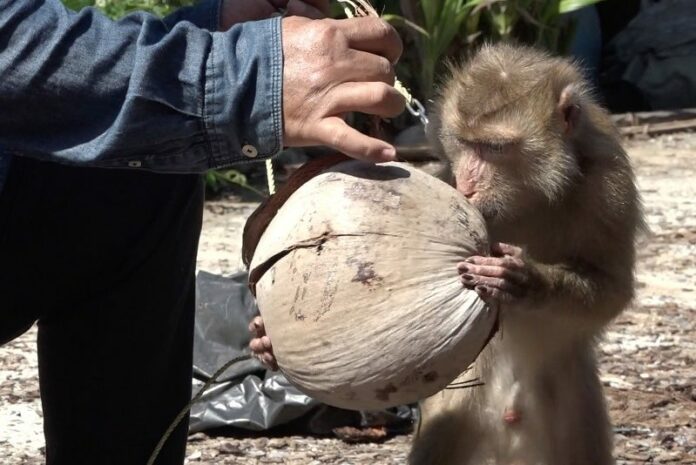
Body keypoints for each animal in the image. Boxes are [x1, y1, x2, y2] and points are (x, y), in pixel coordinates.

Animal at [410, 41, 644, 462]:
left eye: (494, 147)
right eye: (465, 143)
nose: (469, 184)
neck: (529, 195)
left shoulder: (609, 183)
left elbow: (613, 287)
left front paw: (525, 281)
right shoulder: (446, 178)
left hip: (573, 407)